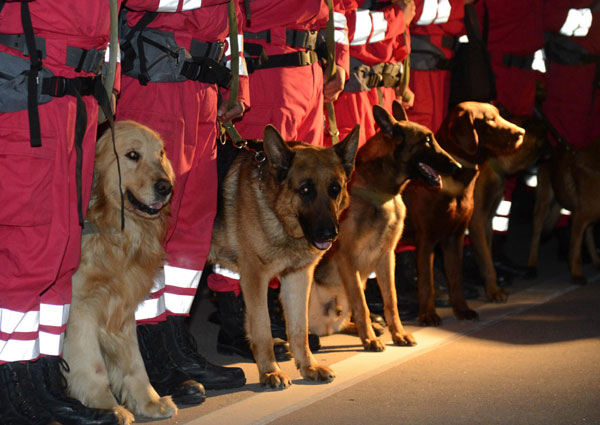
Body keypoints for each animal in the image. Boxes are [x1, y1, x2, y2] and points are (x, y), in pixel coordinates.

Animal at [65, 121, 179, 422]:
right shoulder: (79, 309)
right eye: (132, 155)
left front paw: (149, 401)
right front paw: (106, 407)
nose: (166, 186)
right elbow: (93, 366)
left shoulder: (122, 307)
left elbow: (134, 363)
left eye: (160, 154)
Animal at [207, 123, 356, 388]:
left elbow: (299, 329)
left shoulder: (298, 278)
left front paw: (307, 367)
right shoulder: (254, 279)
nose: (330, 233)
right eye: (305, 190)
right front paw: (269, 371)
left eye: (335, 189)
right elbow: (262, 329)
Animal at [404, 102, 524, 324]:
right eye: (490, 120)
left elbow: (456, 279)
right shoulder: (426, 239)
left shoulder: (454, 237)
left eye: (499, 115)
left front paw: (461, 309)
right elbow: (426, 282)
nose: (521, 132)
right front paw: (428, 314)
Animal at [468, 115, 548, 302]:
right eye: (546, 137)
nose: (555, 148)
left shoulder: (487, 221)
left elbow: (486, 256)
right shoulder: (477, 221)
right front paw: (493, 290)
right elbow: (486, 259)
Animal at [528, 139, 600, 284]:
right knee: (536, 234)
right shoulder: (579, 217)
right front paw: (576, 274)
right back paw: (532, 266)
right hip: (543, 204)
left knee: (589, 233)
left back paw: (596, 260)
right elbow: (575, 251)